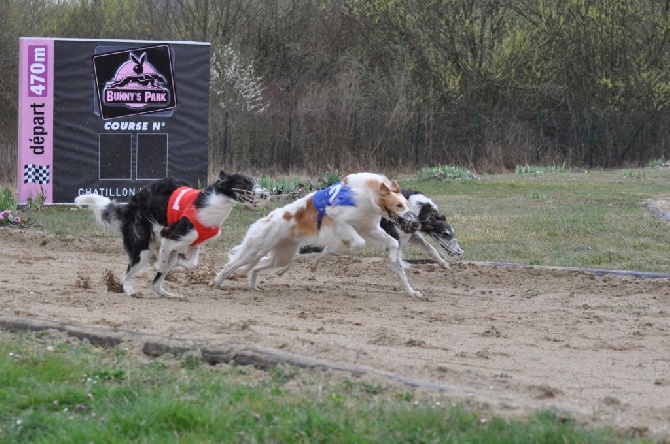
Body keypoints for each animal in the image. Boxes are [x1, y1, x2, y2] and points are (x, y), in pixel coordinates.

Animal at [76, 170, 268, 298]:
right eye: (244, 182)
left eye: (254, 181)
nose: (265, 194)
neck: (211, 207)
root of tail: (130, 205)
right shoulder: (169, 235)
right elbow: (163, 261)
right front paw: (159, 263)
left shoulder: (193, 243)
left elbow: (190, 263)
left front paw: (176, 261)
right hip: (141, 248)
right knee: (127, 274)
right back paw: (130, 290)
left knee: (155, 284)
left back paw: (168, 293)